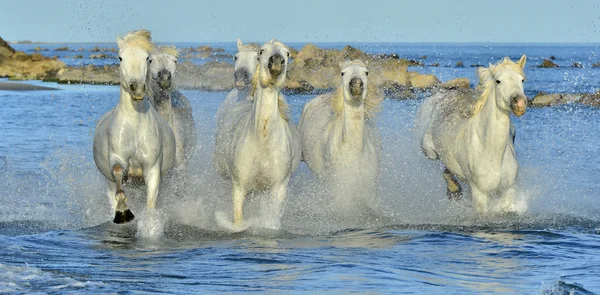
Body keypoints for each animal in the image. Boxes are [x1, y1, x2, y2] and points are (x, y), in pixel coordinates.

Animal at [92, 30, 176, 224]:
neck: (134, 125)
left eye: (147, 58)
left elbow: (151, 204)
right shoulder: (117, 158)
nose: (136, 88)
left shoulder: (152, 169)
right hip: (108, 181)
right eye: (120, 57)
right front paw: (123, 212)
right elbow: (118, 175)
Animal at [213, 38, 302, 229]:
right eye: (262, 51)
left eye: (287, 53)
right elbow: (239, 221)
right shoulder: (239, 188)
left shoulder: (278, 189)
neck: (262, 137)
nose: (276, 61)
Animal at [418, 55, 524, 215]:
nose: (520, 104)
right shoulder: (479, 193)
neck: (492, 152)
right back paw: (453, 188)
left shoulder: (508, 190)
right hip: (429, 151)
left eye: (522, 80)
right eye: (498, 81)